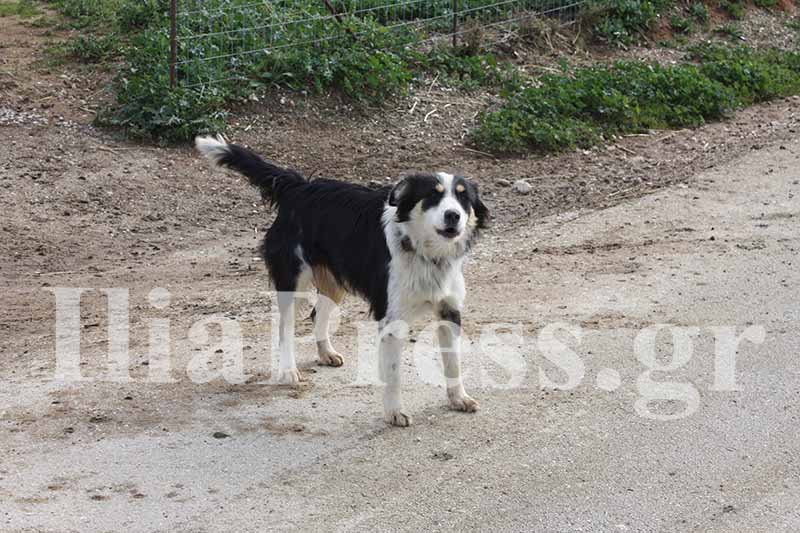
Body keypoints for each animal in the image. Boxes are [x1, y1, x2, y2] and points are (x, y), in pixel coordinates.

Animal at [195, 135, 489, 426]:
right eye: (432, 196)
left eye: (463, 199)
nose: (453, 215)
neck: (426, 253)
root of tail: (299, 187)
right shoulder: (391, 318)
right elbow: (393, 374)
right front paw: (394, 412)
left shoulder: (449, 311)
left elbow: (453, 363)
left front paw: (458, 398)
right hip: (292, 280)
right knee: (284, 326)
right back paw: (288, 370)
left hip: (334, 282)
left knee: (317, 315)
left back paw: (326, 353)